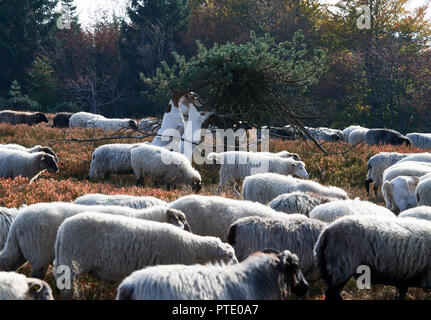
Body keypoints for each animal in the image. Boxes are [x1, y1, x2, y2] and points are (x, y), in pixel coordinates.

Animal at [55, 212, 238, 300]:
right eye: (229, 256)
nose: (238, 264)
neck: (194, 249)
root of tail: (62, 228)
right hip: (71, 264)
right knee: (68, 290)